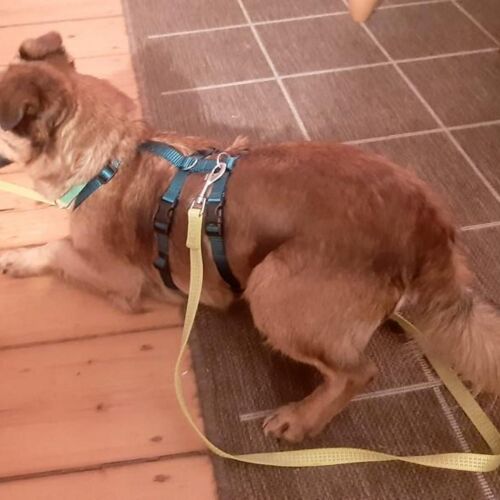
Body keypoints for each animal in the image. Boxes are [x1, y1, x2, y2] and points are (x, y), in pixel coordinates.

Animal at [0, 32, 499, 443]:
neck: (114, 157)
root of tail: (428, 223)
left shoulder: (119, 277)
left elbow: (56, 248)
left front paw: (19, 260)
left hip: (271, 285)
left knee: (357, 373)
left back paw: (301, 419)